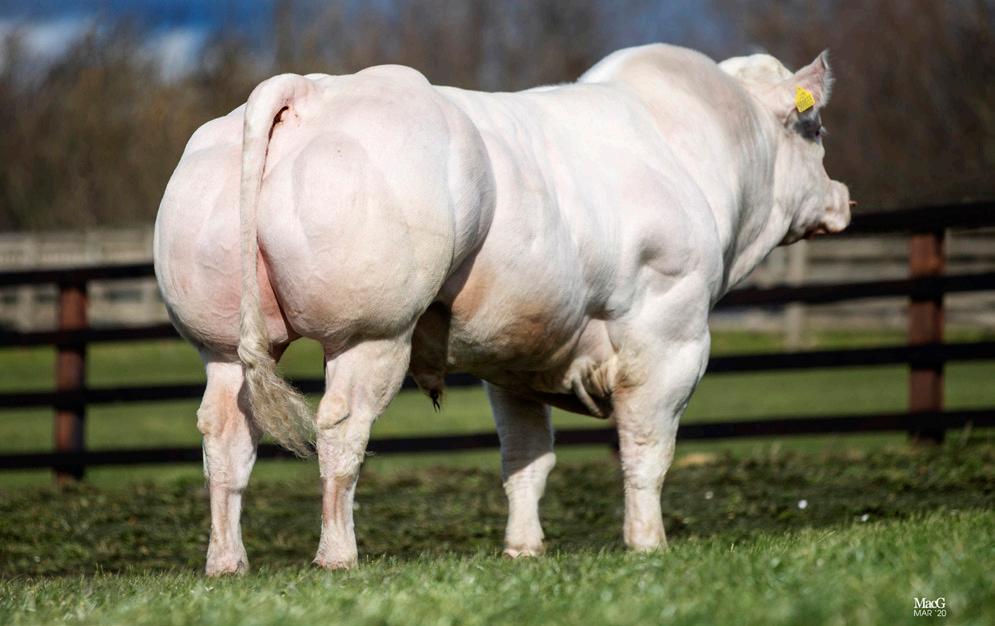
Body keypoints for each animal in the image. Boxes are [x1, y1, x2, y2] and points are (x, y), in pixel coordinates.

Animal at [153, 43, 850, 575]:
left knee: (225, 436)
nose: (842, 197)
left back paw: (226, 562)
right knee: (341, 430)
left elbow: (526, 460)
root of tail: (307, 89)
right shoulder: (669, 334)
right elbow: (647, 450)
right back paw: (337, 555)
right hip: (370, 331)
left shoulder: (516, 360)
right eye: (816, 129)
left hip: (221, 344)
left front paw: (522, 549)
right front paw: (648, 544)